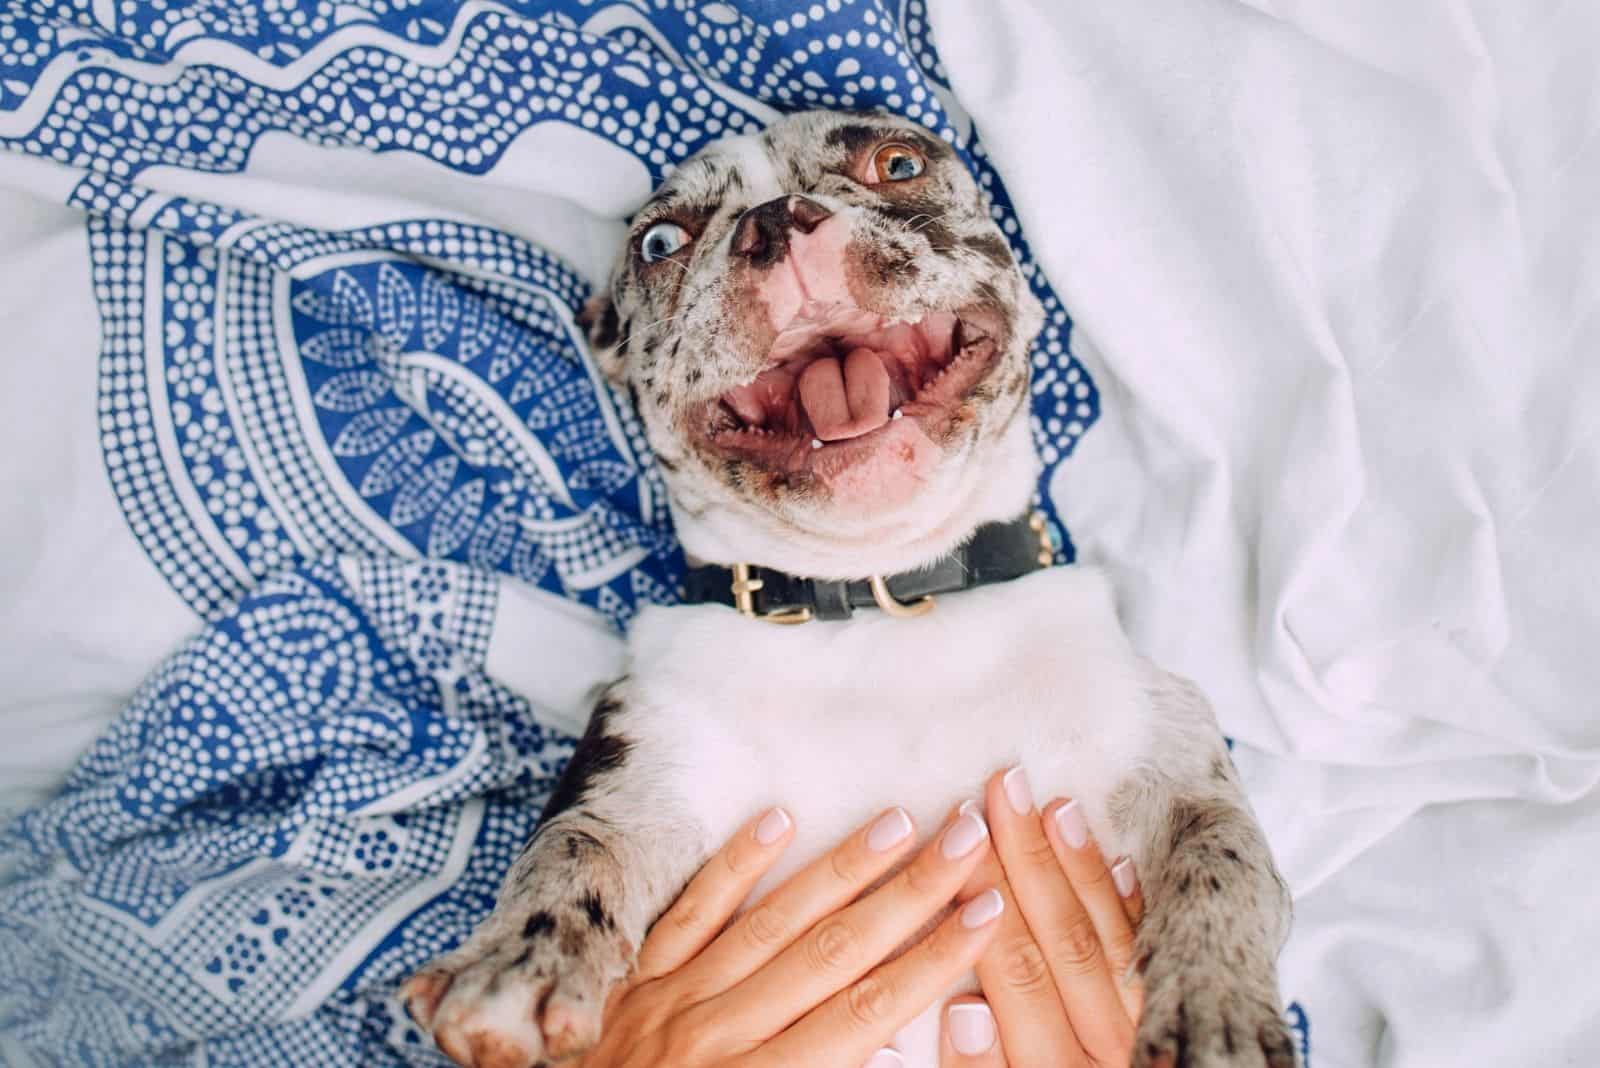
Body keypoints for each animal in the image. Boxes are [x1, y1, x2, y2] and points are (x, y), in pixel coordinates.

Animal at [400, 110, 1299, 1068]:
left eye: (897, 162)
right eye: (660, 241)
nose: (773, 220)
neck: (878, 595)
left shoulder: (1174, 766)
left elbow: (1224, 863)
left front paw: (1214, 1003)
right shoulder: (635, 784)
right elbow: (569, 854)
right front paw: (516, 965)